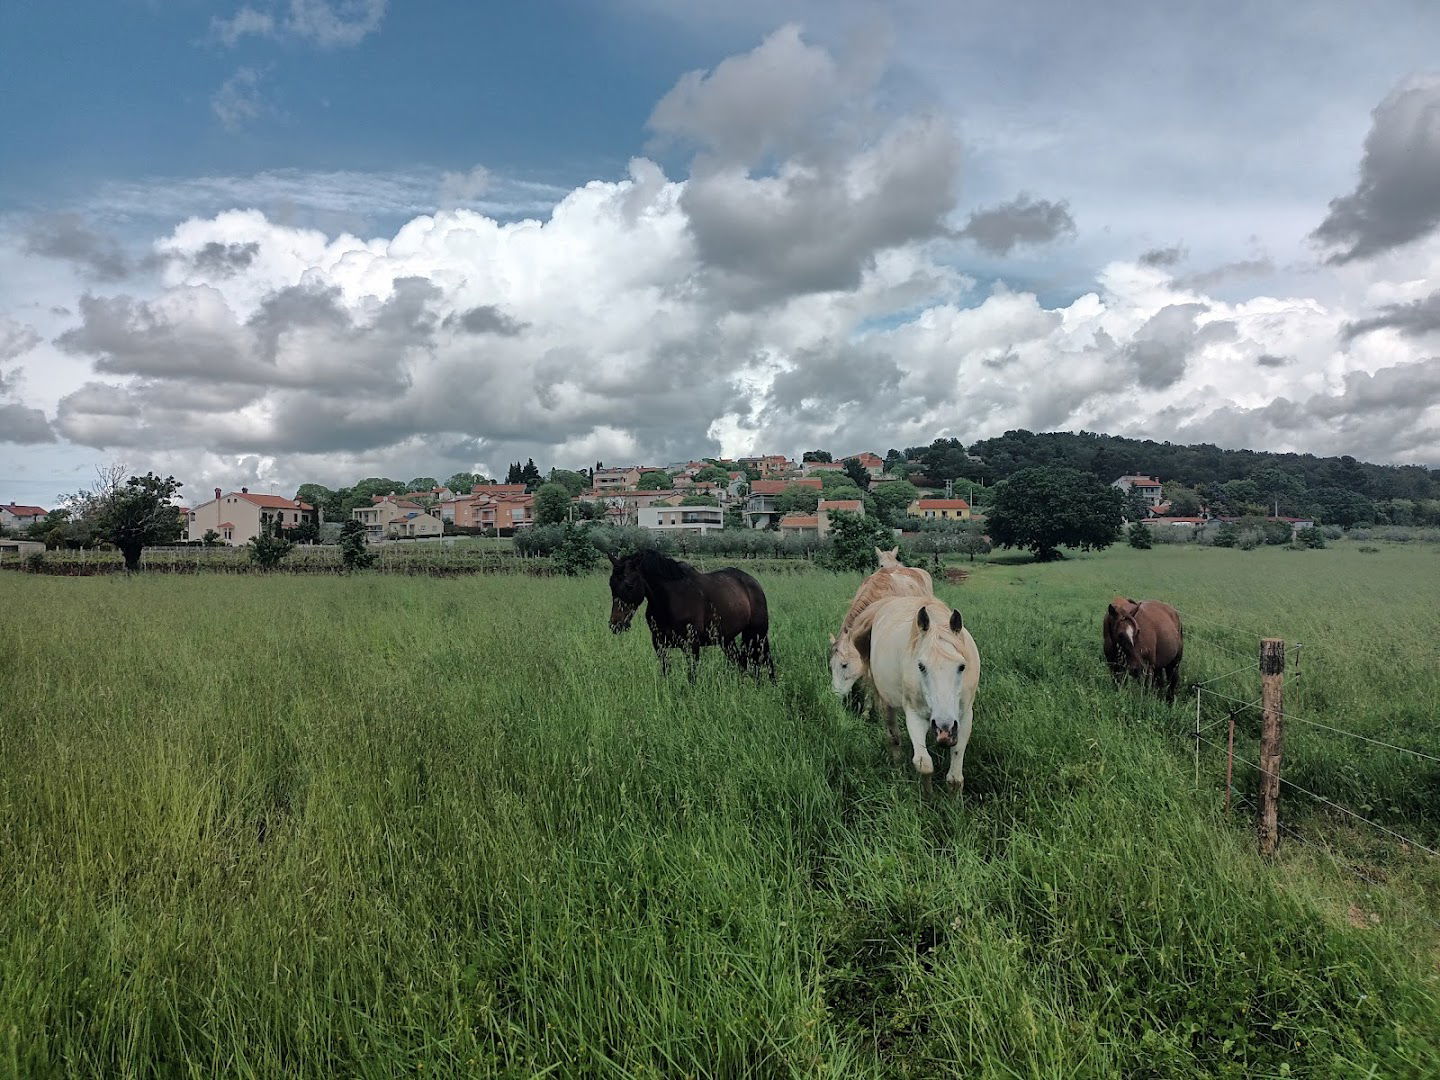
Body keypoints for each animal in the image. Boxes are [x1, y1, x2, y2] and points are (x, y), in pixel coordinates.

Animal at [607, 549, 774, 679]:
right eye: (611, 584)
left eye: (629, 585)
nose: (615, 624)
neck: (670, 600)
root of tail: (752, 582)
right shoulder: (660, 645)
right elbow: (666, 672)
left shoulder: (691, 645)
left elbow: (692, 676)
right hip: (727, 640)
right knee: (741, 663)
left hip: (758, 635)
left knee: (766, 661)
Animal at [849, 595, 980, 787]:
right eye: (921, 666)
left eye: (962, 666)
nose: (945, 729)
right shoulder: (914, 715)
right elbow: (923, 764)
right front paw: (927, 795)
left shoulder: (964, 717)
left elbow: (955, 778)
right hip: (886, 702)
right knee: (893, 737)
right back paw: (897, 770)